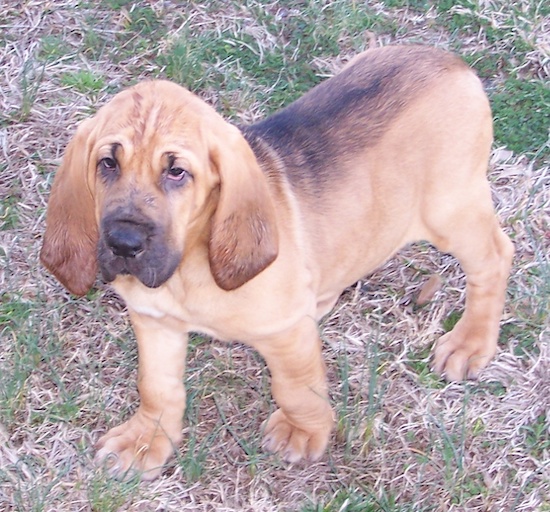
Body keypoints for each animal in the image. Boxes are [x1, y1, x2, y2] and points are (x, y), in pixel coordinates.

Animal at [41, 45, 516, 480]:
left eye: (177, 172)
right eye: (107, 163)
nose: (123, 243)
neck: (187, 272)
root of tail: (450, 61)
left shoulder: (284, 332)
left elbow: (296, 386)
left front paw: (303, 432)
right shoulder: (154, 322)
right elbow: (157, 386)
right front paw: (146, 440)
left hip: (450, 210)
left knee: (496, 255)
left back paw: (471, 342)